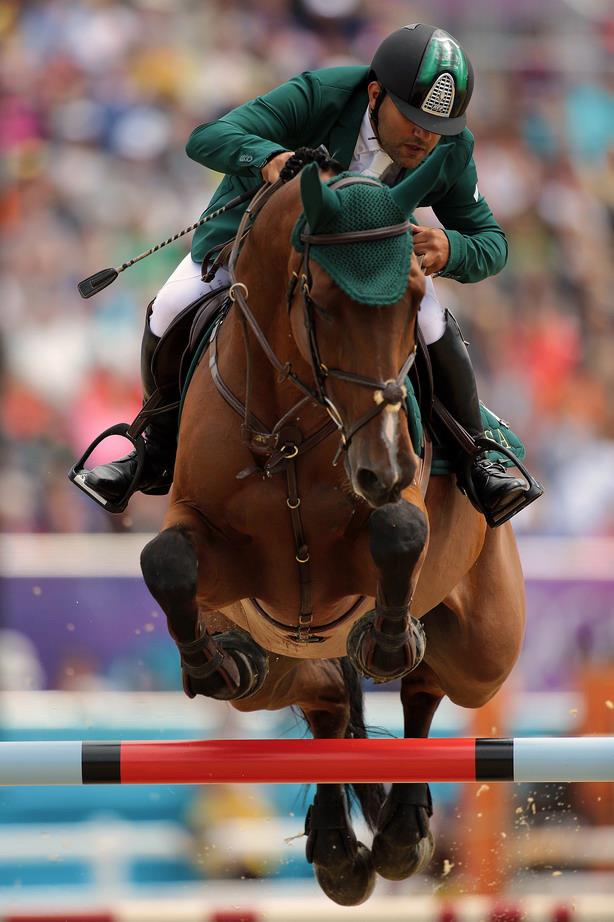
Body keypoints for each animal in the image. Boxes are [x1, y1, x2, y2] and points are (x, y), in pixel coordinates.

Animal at [139, 158, 525, 906]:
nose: (384, 466)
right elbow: (165, 558)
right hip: (280, 662)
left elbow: (400, 530)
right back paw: (341, 849)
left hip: (486, 651)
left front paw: (387, 640)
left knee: (426, 687)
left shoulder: (381, 530)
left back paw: (401, 831)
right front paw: (207, 663)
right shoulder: (220, 547)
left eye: (414, 298)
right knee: (320, 696)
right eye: (319, 300)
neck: (285, 428)